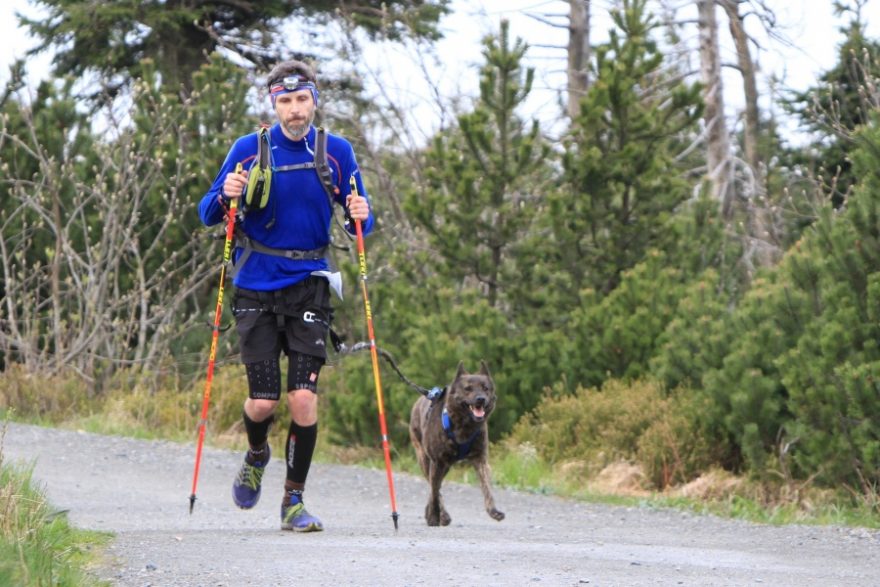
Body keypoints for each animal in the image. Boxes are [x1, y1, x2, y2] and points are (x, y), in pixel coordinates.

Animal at [408, 360, 502, 524]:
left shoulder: (480, 459)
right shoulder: (437, 461)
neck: (465, 425)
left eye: (485, 388)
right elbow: (434, 491)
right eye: (468, 388)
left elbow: (487, 487)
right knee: (433, 487)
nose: (481, 399)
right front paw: (434, 516)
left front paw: (493, 511)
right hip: (425, 459)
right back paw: (440, 514)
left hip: (444, 466)